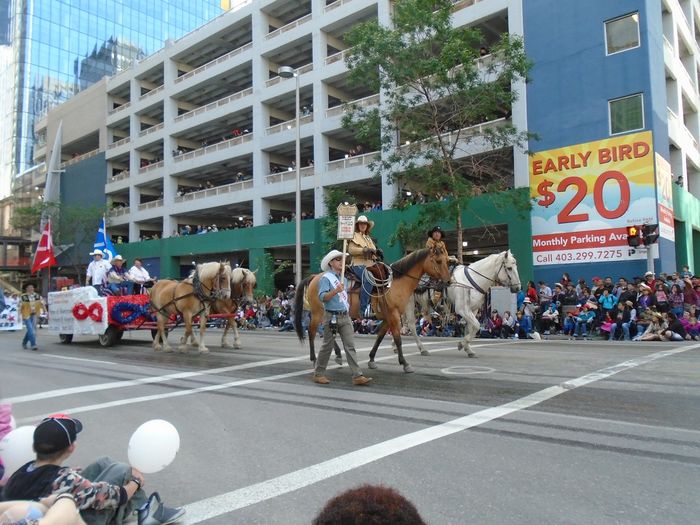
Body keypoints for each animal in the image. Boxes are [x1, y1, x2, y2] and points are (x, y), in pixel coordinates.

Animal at [294, 246, 448, 372]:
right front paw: (405, 363)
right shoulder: (393, 315)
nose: (447, 281)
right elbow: (398, 339)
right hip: (317, 312)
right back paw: (314, 360)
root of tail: (314, 277)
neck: (397, 283)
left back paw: (337, 355)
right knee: (312, 331)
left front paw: (372, 359)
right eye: (438, 261)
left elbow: (379, 338)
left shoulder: (387, 318)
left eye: (447, 260)